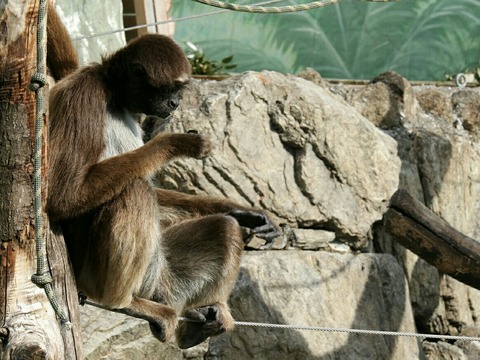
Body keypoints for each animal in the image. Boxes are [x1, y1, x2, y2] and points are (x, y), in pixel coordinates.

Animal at [46, 1, 278, 348]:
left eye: (178, 91)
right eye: (170, 89)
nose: (175, 102)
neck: (113, 94)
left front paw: (245, 213)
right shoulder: (84, 93)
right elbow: (62, 197)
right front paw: (176, 142)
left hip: (161, 278)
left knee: (224, 228)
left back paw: (203, 317)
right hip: (91, 271)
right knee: (134, 189)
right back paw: (122, 302)